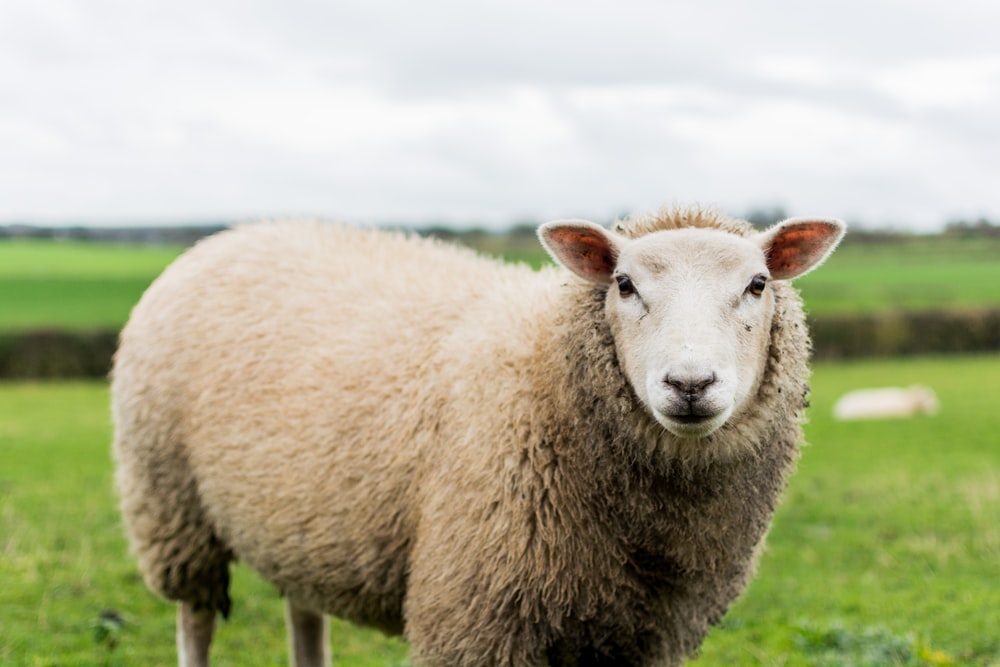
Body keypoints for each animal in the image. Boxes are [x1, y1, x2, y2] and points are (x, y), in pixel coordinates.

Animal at [109, 206, 844, 664]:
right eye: (624, 283)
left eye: (758, 284)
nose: (690, 383)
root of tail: (229, 235)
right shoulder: (477, 614)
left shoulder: (641, 634)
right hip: (171, 504)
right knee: (196, 618)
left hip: (296, 519)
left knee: (303, 612)